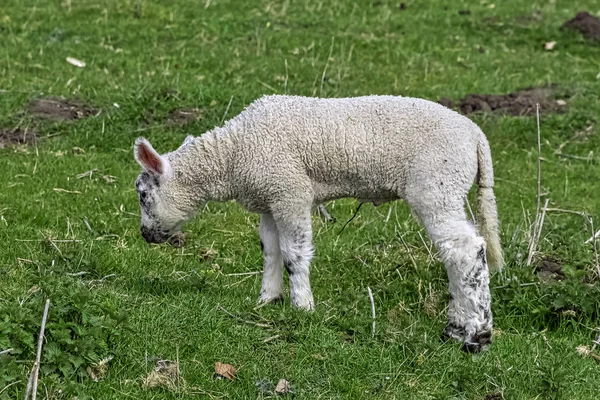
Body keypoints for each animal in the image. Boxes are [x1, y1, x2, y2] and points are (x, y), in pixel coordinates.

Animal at [134, 95, 504, 352]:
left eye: (143, 194)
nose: (145, 235)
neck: (234, 154)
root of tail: (476, 136)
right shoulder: (269, 197)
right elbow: (270, 251)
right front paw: (268, 299)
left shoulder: (290, 190)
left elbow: (294, 254)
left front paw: (302, 306)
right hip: (447, 188)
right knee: (458, 253)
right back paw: (458, 325)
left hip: (436, 184)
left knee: (465, 251)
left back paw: (474, 333)